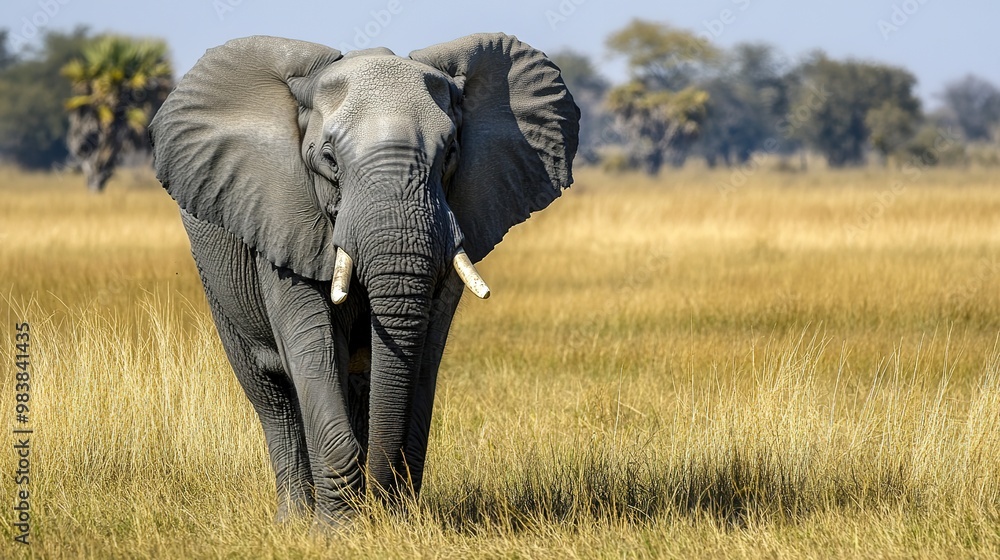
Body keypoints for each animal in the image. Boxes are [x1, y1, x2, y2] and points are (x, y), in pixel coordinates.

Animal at [148, 33, 579, 526]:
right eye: (329, 159)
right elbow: (314, 351)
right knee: (271, 396)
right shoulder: (281, 217)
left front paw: (397, 521)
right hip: (217, 282)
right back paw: (295, 520)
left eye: (450, 153)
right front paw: (337, 530)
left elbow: (425, 353)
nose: (380, 502)